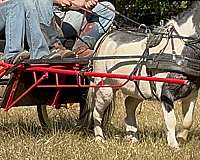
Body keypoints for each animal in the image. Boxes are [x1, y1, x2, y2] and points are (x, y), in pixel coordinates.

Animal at [80, 1, 200, 149]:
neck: (180, 52)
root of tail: (104, 38)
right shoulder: (166, 94)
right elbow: (171, 120)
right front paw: (174, 145)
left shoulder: (192, 92)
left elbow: (188, 121)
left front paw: (181, 138)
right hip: (104, 88)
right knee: (97, 112)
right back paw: (99, 138)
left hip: (138, 88)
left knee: (129, 103)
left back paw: (132, 137)